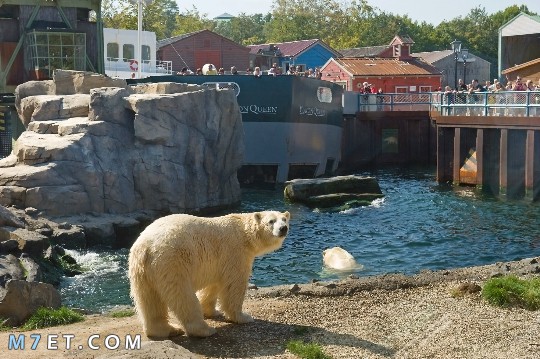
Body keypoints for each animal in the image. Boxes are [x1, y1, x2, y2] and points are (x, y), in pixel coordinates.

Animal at [128, 210, 288, 338]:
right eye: (271, 221)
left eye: (284, 219)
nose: (283, 228)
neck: (245, 234)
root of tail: (146, 246)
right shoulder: (235, 252)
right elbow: (234, 285)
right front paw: (243, 317)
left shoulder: (217, 263)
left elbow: (214, 285)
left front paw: (212, 311)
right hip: (172, 262)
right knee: (182, 296)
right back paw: (204, 330)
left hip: (141, 270)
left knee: (149, 299)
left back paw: (166, 330)